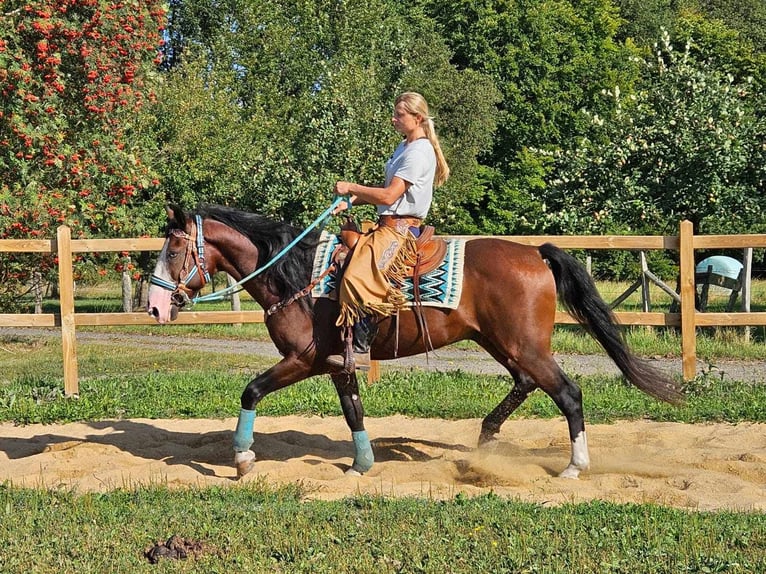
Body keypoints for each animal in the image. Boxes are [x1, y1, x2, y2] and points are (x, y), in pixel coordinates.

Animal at [148, 205, 684, 484]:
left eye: (173, 249)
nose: (154, 306)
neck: (297, 275)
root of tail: (535, 253)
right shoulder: (337, 363)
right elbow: (354, 410)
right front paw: (362, 465)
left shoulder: (303, 359)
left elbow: (251, 391)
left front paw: (242, 460)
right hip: (502, 343)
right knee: (526, 382)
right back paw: (485, 440)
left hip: (525, 346)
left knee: (568, 393)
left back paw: (575, 466)